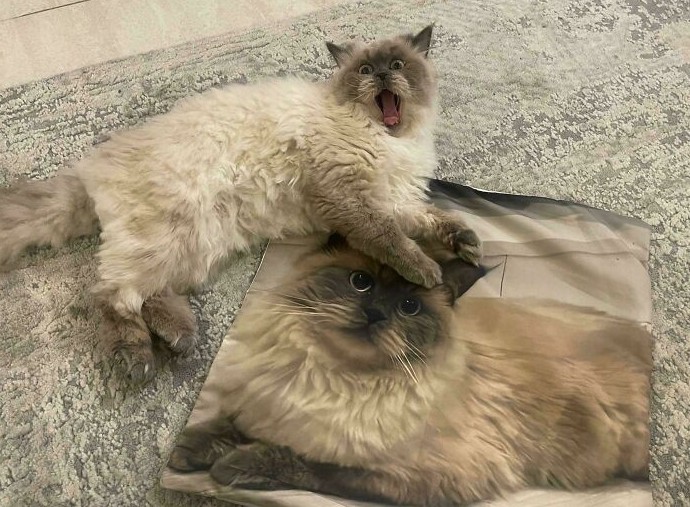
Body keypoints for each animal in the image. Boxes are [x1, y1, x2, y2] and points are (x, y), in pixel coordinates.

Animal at [0, 25, 481, 385]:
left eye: (398, 65)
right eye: (365, 69)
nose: (381, 76)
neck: (389, 138)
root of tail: (90, 168)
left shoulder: (394, 197)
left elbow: (431, 220)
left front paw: (467, 243)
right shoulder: (348, 197)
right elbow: (393, 240)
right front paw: (427, 270)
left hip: (197, 247)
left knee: (150, 294)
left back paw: (181, 339)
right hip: (167, 236)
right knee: (112, 295)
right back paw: (139, 360)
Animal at [168, 234, 652, 506]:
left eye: (409, 307)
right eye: (361, 282)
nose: (375, 315)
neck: (328, 374)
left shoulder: (419, 474)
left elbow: (315, 464)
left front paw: (234, 465)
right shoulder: (270, 402)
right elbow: (230, 422)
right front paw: (186, 452)